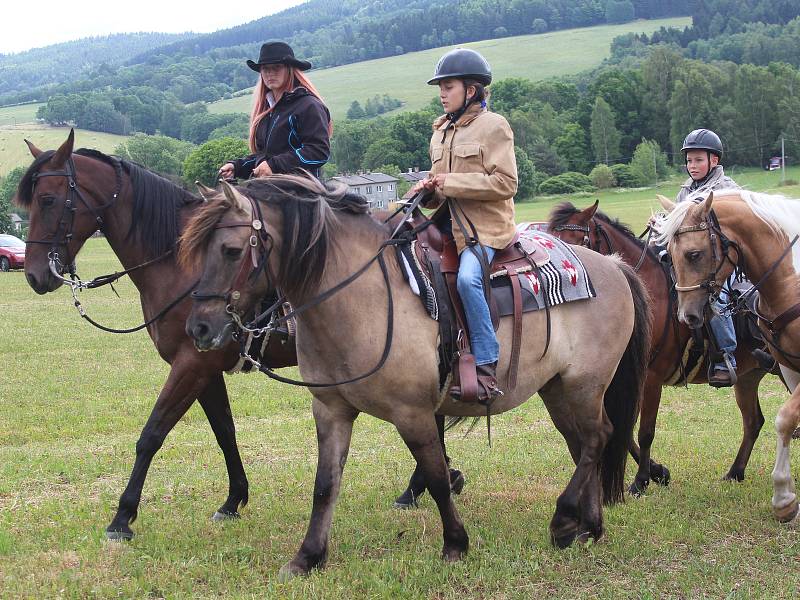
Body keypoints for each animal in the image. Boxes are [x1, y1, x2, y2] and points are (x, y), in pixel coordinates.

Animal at [15, 132, 296, 544]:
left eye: (48, 199)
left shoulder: (192, 364)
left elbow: (152, 434)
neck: (182, 263)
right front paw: (233, 501)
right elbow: (224, 431)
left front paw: (122, 517)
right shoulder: (205, 369)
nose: (35, 275)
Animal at [180, 175, 648, 576]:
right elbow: (325, 484)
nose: (198, 328)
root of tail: (612, 265)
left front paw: (455, 543)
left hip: (586, 384)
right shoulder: (331, 409)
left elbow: (438, 477)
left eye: (231, 250)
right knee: (583, 444)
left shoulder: (414, 414)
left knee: (596, 439)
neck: (362, 295)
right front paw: (308, 556)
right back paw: (588, 527)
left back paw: (564, 519)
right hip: (557, 389)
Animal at [552, 202, 772, 492]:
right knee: (753, 422)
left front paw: (641, 480)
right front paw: (659, 472)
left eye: (578, 239)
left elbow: (644, 431)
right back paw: (735, 471)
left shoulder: (651, 379)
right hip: (748, 377)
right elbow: (623, 429)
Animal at [656, 190, 800, 524]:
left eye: (694, 254)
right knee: (753, 421)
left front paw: (783, 497)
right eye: (668, 255)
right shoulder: (790, 367)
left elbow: (785, 419)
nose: (687, 316)